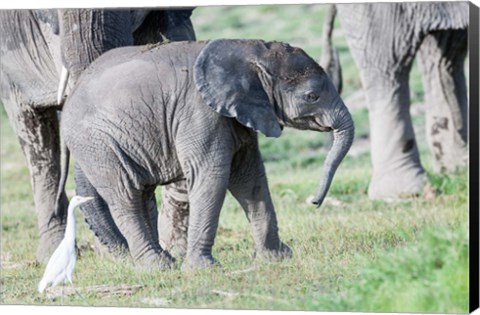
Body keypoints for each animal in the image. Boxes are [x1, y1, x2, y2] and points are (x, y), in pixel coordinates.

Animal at [59, 38, 352, 270]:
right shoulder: (200, 113)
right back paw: (158, 267)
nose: (314, 201)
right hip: (97, 143)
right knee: (126, 196)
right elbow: (212, 177)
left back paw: (164, 260)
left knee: (139, 195)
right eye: (312, 96)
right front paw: (203, 269)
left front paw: (277, 259)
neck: (250, 50)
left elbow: (250, 178)